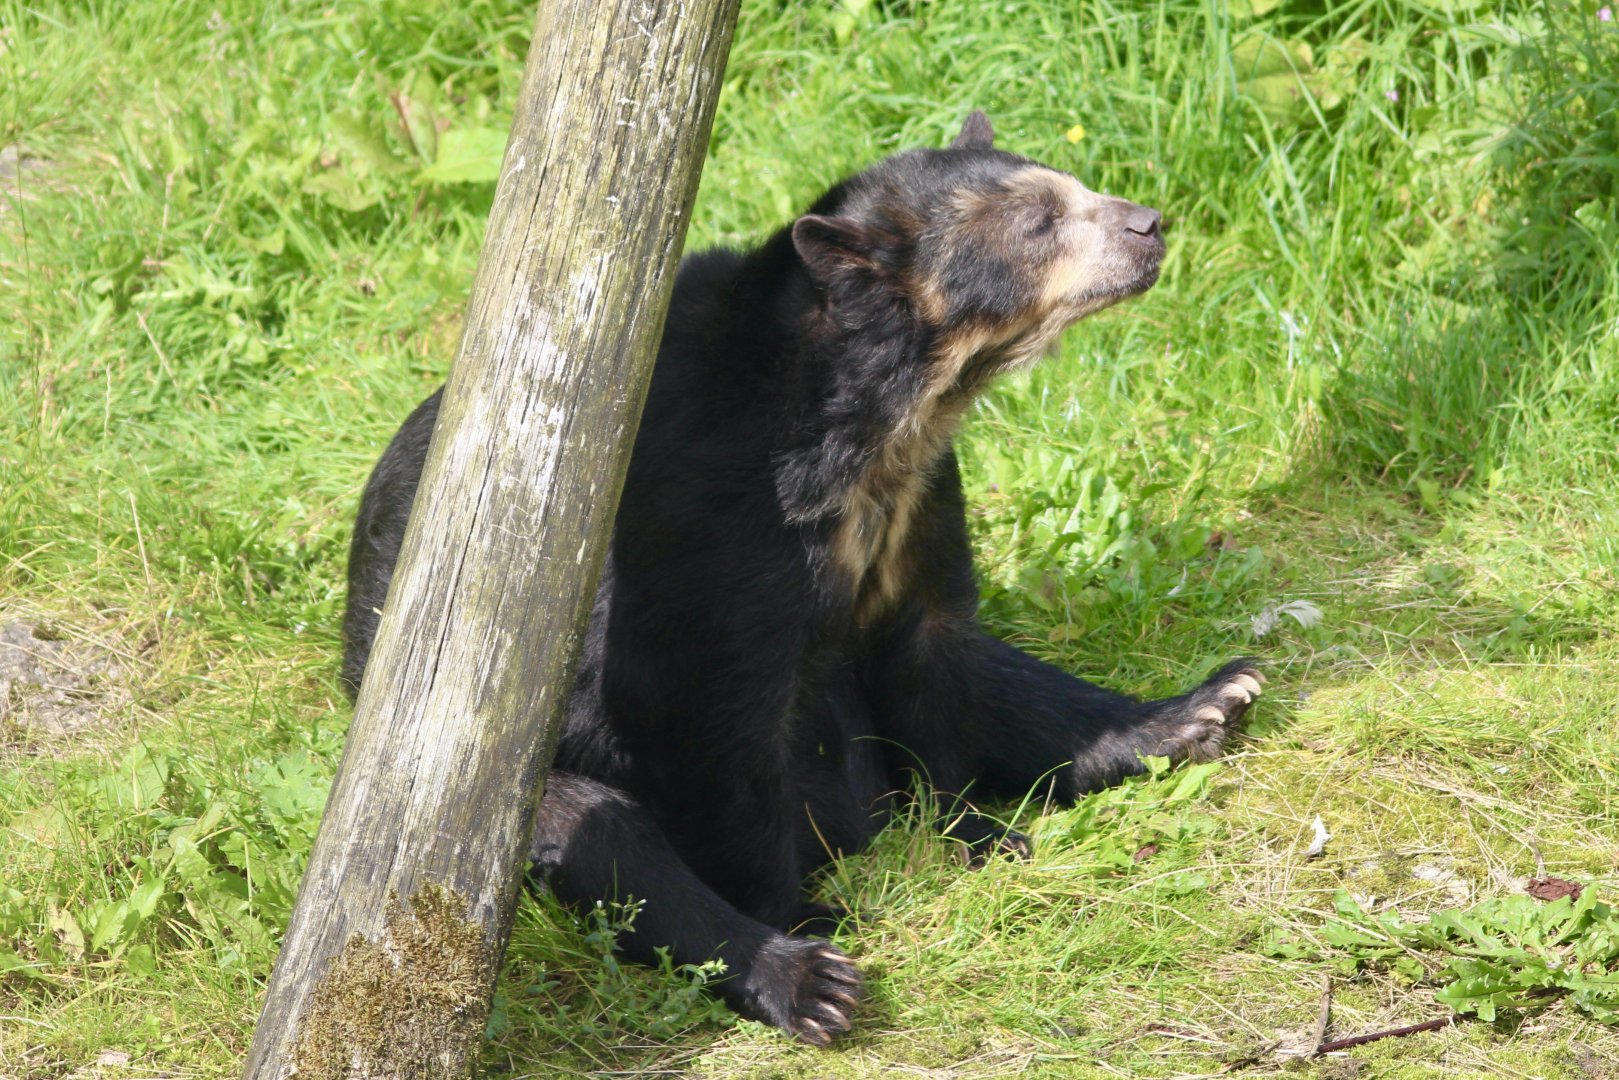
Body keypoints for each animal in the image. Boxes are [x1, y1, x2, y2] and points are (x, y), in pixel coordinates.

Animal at [341, 111, 1262, 1045]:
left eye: (1071, 190)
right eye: (1039, 220)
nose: (1148, 224)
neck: (874, 423)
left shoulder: (920, 503)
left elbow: (935, 653)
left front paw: (975, 832)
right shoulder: (706, 522)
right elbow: (712, 719)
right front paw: (807, 915)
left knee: (1003, 675)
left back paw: (1201, 707)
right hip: (500, 784)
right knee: (606, 844)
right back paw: (808, 978)